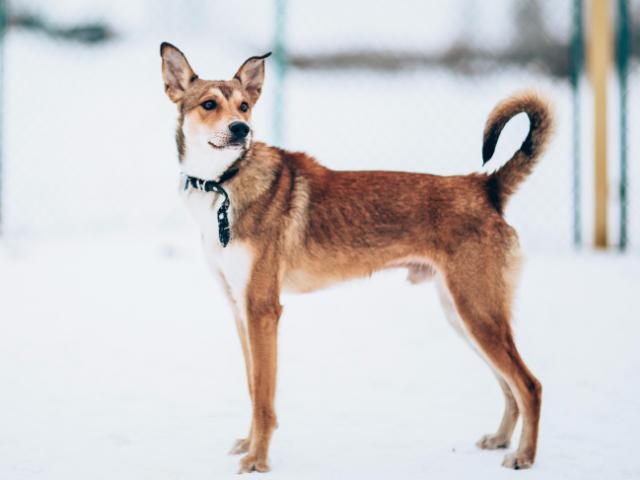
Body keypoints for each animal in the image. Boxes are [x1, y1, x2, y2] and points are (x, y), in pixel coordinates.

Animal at [161, 42, 556, 472]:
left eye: (244, 107)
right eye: (210, 104)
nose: (240, 129)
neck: (223, 183)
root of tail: (485, 187)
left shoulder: (263, 310)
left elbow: (264, 398)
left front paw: (258, 461)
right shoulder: (240, 310)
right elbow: (253, 388)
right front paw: (249, 446)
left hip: (477, 313)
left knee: (530, 385)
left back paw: (524, 456)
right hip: (464, 315)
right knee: (509, 386)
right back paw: (500, 440)